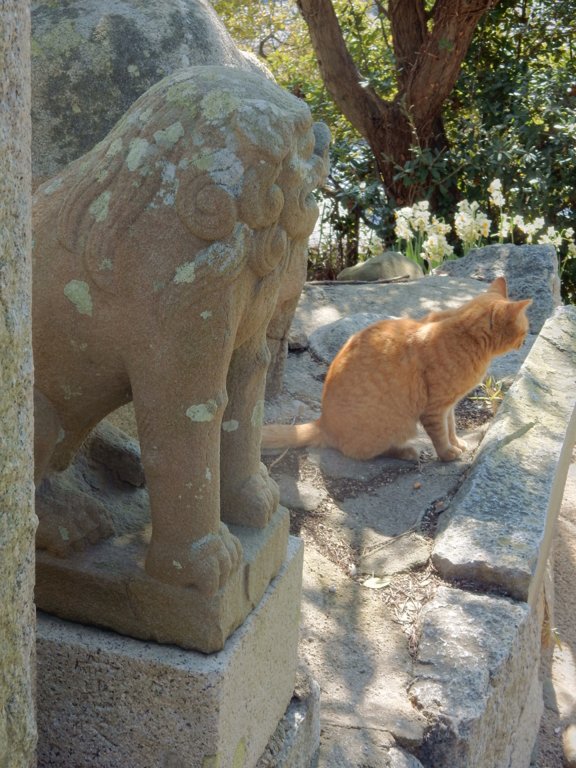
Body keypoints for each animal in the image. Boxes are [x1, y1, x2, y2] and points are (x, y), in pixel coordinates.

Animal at [260, 278, 532, 462]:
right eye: (525, 330)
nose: (525, 342)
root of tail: (322, 422)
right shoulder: (435, 408)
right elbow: (440, 435)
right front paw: (448, 454)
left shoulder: (449, 405)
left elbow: (451, 427)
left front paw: (458, 444)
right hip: (397, 425)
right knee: (363, 452)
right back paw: (407, 451)